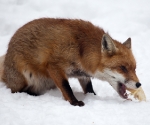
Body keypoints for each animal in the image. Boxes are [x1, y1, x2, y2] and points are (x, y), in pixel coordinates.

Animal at [0, 18, 141, 106]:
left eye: (134, 68)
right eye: (122, 68)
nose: (139, 84)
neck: (81, 49)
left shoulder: (82, 74)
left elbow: (89, 88)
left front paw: (92, 97)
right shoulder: (54, 66)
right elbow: (65, 86)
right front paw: (74, 102)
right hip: (25, 78)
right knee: (16, 90)